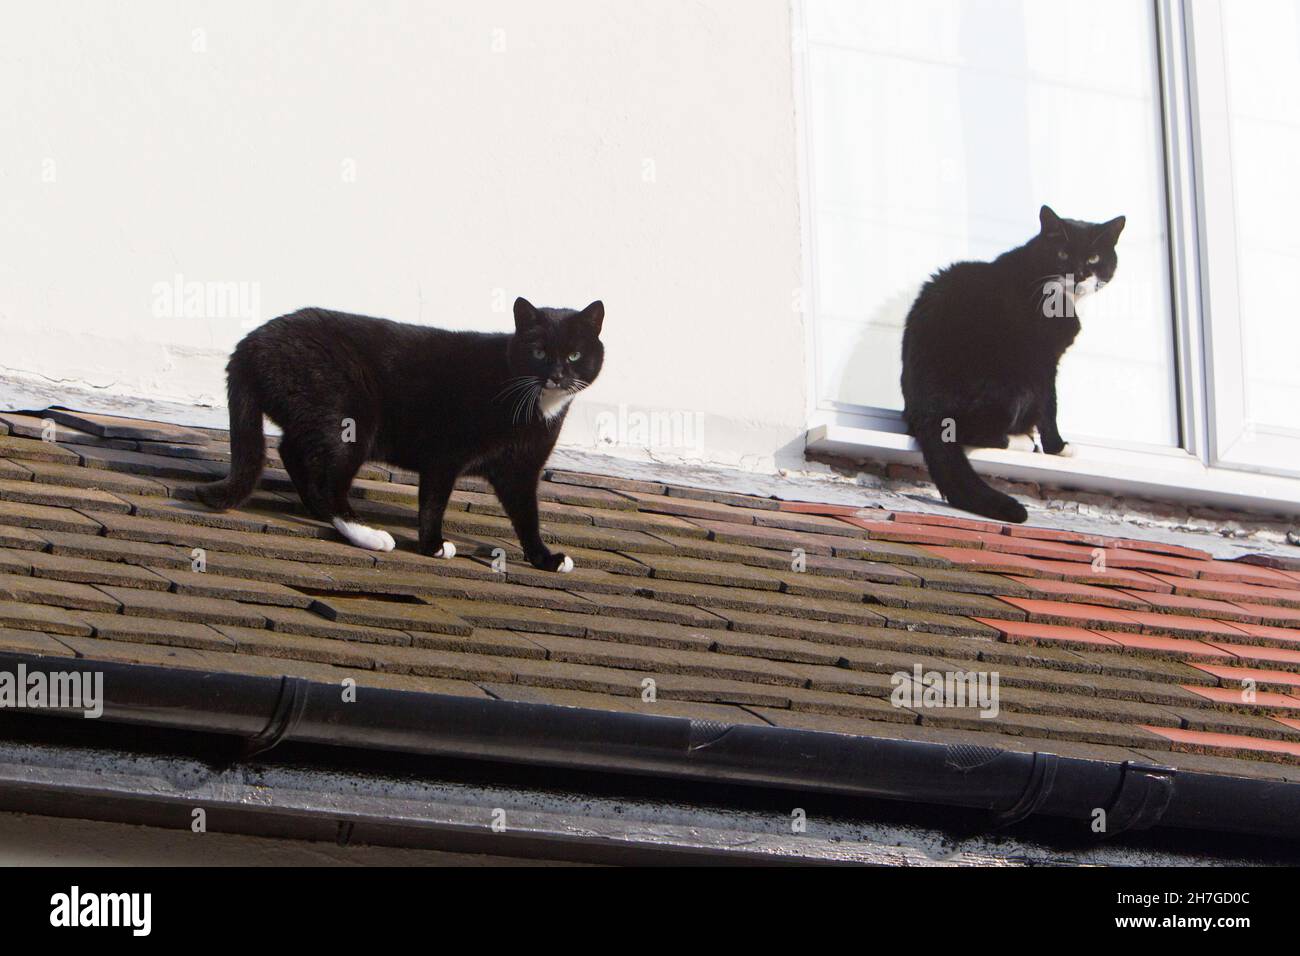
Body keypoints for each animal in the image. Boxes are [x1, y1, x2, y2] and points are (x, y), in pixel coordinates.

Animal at [197, 295, 603, 572]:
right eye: (538, 352)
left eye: (574, 355)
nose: (557, 375)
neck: (535, 405)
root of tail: (250, 343)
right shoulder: (446, 453)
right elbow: (434, 500)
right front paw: (433, 545)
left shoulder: (520, 471)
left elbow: (528, 515)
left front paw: (545, 558)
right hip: (349, 417)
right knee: (328, 479)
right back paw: (366, 533)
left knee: (292, 451)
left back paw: (319, 510)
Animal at [904, 204, 1128, 528]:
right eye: (1062, 253)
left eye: (1093, 258)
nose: (1079, 274)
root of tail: (928, 412)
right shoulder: (1044, 361)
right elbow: (1050, 407)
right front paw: (1059, 447)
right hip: (1012, 384)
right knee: (973, 431)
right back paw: (1021, 441)